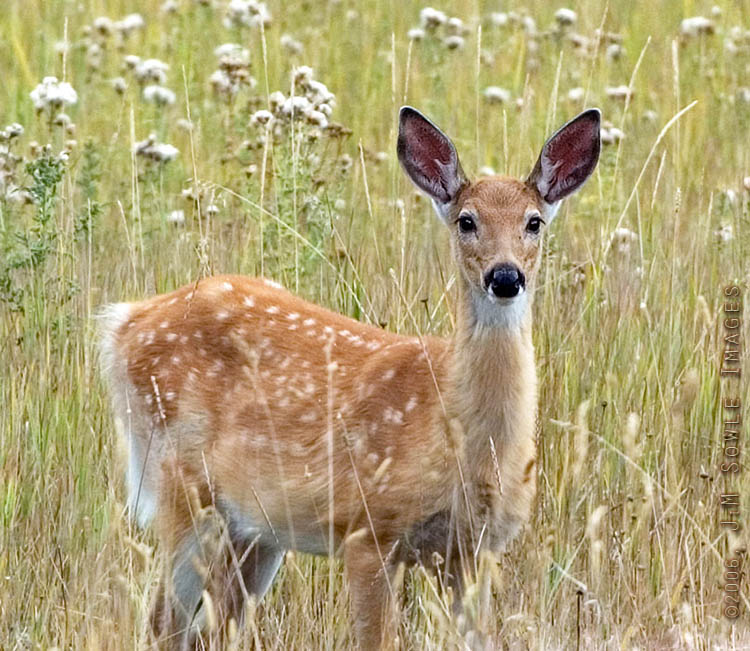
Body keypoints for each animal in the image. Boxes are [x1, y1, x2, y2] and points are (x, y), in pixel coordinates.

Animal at [100, 104, 604, 648]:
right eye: (466, 221)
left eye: (534, 222)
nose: (506, 277)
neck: (461, 436)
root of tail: (124, 323)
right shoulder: (369, 529)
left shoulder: (474, 548)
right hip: (182, 486)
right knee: (162, 622)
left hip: (254, 527)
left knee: (209, 626)